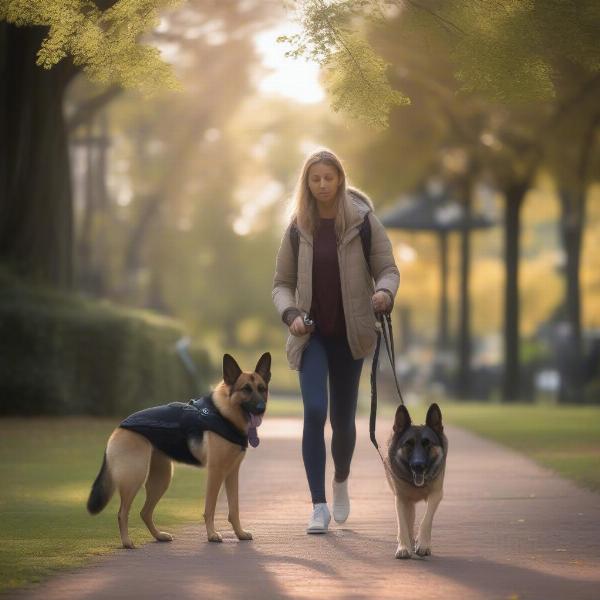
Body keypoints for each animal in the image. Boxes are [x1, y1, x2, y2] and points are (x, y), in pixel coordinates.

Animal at [86, 352, 270, 548]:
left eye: (262, 389)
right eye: (246, 389)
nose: (261, 408)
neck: (223, 413)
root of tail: (119, 428)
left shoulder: (232, 474)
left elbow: (234, 508)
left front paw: (240, 533)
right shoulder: (216, 473)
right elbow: (210, 508)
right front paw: (212, 534)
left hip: (161, 480)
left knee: (144, 512)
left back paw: (159, 536)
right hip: (135, 478)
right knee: (122, 513)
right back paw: (128, 542)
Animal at [386, 404, 448, 556]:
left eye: (427, 444)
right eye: (409, 444)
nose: (418, 465)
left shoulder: (436, 494)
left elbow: (426, 520)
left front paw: (423, 544)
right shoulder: (401, 498)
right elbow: (402, 523)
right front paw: (403, 547)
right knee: (408, 521)